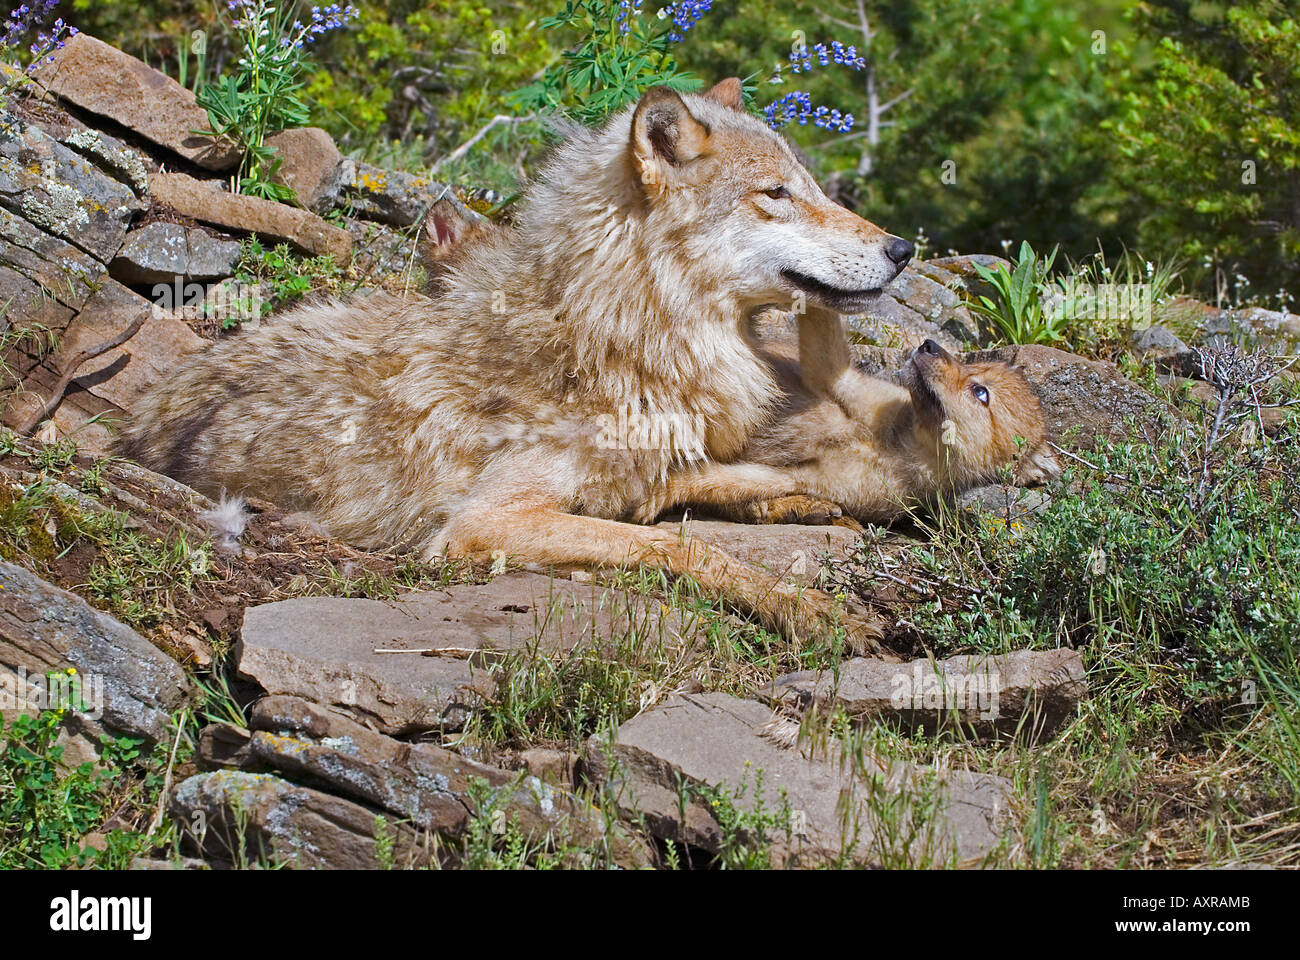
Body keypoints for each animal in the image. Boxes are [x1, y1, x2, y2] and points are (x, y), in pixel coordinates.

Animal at [119, 80, 914, 651]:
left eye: (812, 186)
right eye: (778, 194)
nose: (903, 248)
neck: (617, 330)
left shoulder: (641, 466)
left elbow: (716, 480)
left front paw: (809, 498)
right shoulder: (485, 523)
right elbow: (679, 545)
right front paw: (807, 607)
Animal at [632, 306, 1061, 525]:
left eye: (980, 392)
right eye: (974, 366)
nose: (928, 344)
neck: (897, 446)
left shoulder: (800, 476)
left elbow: (705, 480)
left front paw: (654, 499)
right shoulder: (836, 377)